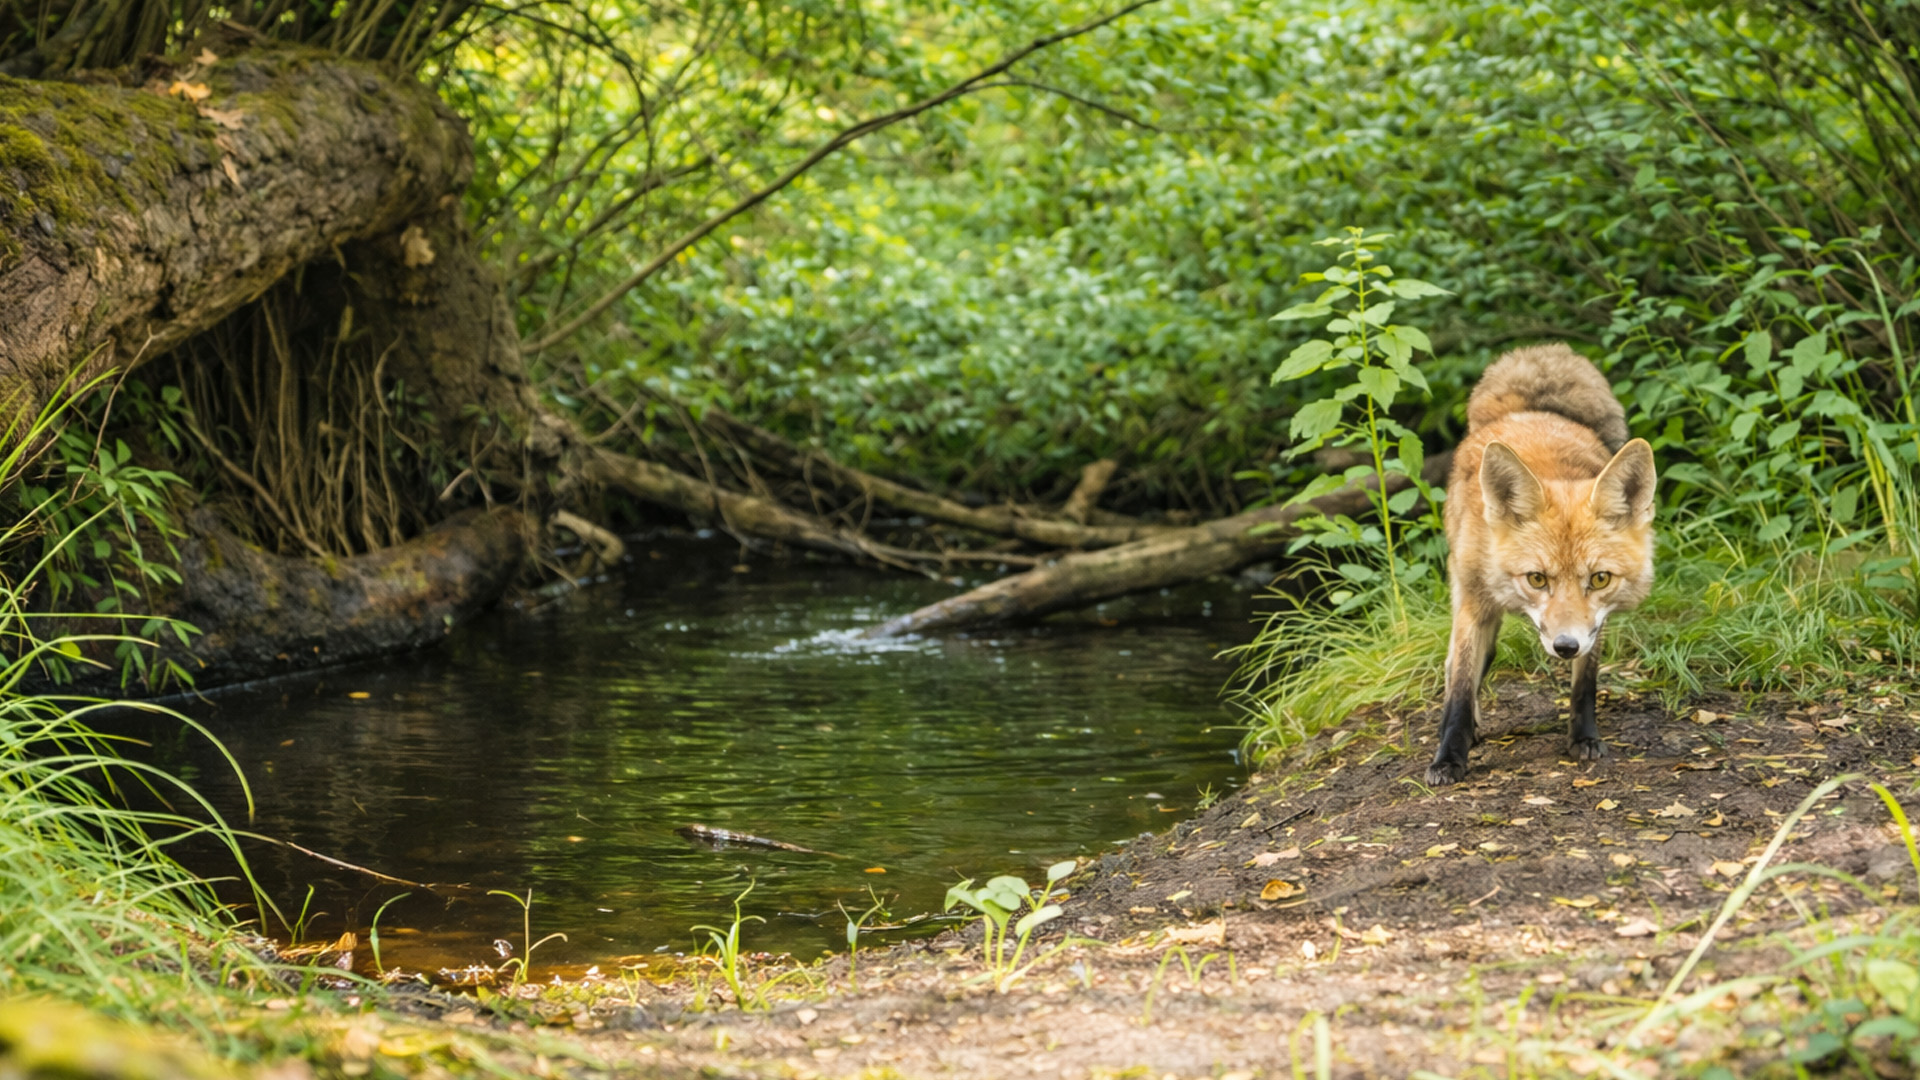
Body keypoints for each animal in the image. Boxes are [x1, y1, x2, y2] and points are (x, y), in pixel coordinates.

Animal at [1426, 344, 1657, 786]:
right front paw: (1448, 759)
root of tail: (1527, 412)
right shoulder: (1475, 606)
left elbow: (1584, 685)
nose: (1565, 647)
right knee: (1454, 668)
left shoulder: (1595, 621)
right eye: (1536, 579)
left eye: (1599, 579)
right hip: (1467, 595)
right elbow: (1460, 687)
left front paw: (1583, 738)